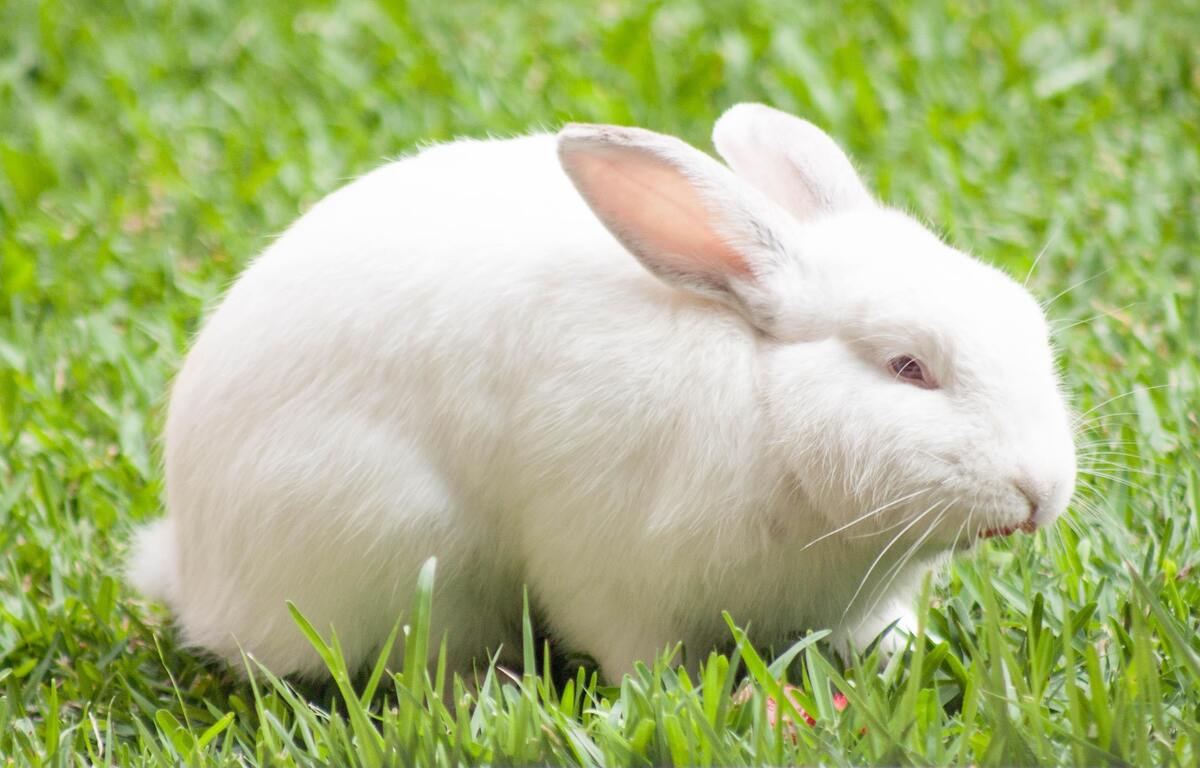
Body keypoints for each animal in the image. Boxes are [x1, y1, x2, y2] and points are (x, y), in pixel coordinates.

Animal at [129, 105, 1080, 681]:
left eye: (1025, 319)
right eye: (907, 367)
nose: (1039, 492)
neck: (767, 404)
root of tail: (197, 574)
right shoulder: (613, 573)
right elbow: (637, 654)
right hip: (406, 549)